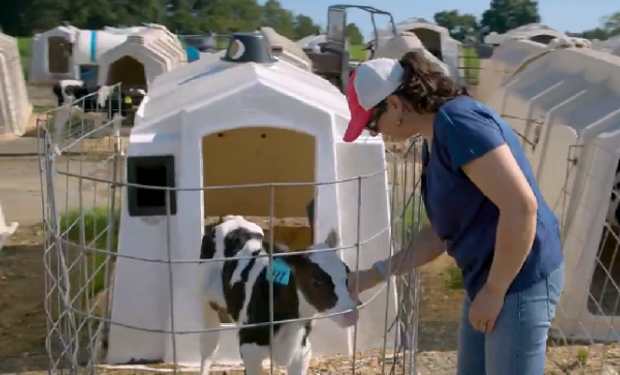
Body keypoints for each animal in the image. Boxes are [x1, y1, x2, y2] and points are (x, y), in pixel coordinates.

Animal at [200, 216, 358, 375]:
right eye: (316, 281)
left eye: (347, 273)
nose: (351, 314)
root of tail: (233, 220)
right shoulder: (250, 348)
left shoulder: (302, 352)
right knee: (208, 345)